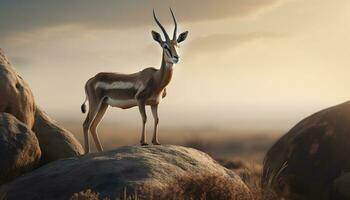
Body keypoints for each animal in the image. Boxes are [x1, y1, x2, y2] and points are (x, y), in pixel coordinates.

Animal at [81, 8, 189, 154]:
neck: (156, 78)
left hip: (104, 104)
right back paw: (87, 152)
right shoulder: (140, 100)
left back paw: (100, 151)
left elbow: (157, 120)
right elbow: (144, 118)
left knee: (93, 126)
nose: (176, 57)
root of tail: (91, 79)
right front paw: (143, 142)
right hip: (95, 103)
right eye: (165, 46)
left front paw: (156, 141)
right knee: (86, 124)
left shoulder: (155, 103)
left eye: (177, 45)